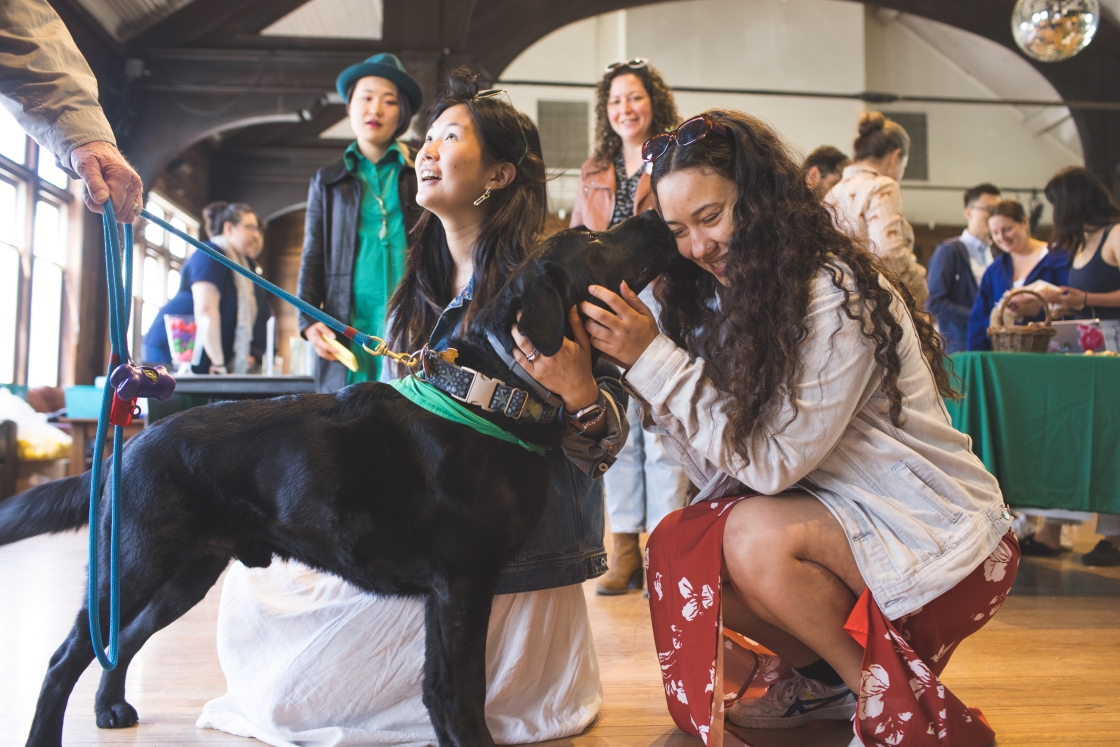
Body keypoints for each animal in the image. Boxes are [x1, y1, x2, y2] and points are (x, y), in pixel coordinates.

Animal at [0, 209, 676, 747]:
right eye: (593, 238)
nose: (652, 213)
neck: (491, 393)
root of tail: (132, 445)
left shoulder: (450, 592)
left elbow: (439, 692)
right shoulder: (464, 581)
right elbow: (461, 694)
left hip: (185, 573)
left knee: (124, 638)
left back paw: (110, 707)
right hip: (134, 561)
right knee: (65, 657)